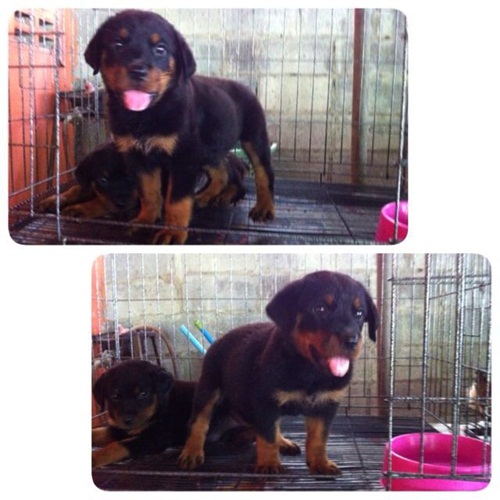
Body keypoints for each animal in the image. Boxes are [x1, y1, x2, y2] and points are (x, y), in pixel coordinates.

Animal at [84, 9, 275, 244]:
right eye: (117, 44)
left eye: (160, 49)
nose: (138, 71)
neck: (146, 114)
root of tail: (245, 87)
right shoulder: (139, 157)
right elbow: (149, 193)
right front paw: (145, 221)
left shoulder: (183, 159)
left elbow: (175, 201)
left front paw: (172, 232)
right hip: (208, 148)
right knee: (220, 171)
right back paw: (205, 196)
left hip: (253, 136)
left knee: (263, 172)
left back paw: (264, 207)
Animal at [178, 271, 379, 475]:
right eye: (320, 309)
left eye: (359, 313)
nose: (352, 341)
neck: (311, 370)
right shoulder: (265, 401)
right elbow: (267, 436)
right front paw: (269, 464)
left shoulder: (326, 405)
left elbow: (318, 438)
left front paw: (320, 463)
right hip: (208, 386)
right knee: (199, 421)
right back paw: (192, 452)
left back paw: (283, 442)